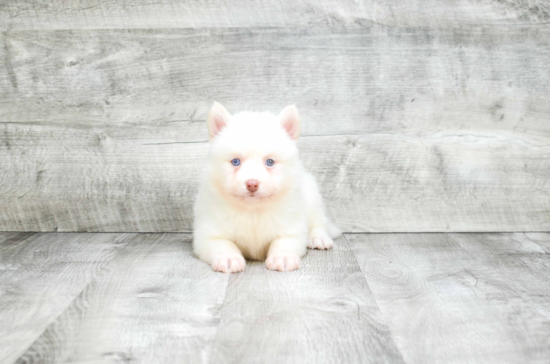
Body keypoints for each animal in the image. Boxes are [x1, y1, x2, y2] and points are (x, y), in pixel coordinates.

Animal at [194, 102, 340, 272]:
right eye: (235, 161)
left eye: (270, 162)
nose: (252, 183)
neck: (253, 211)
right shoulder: (207, 234)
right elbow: (222, 244)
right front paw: (228, 257)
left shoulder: (292, 229)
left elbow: (283, 242)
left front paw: (282, 256)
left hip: (312, 195)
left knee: (318, 222)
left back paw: (319, 238)